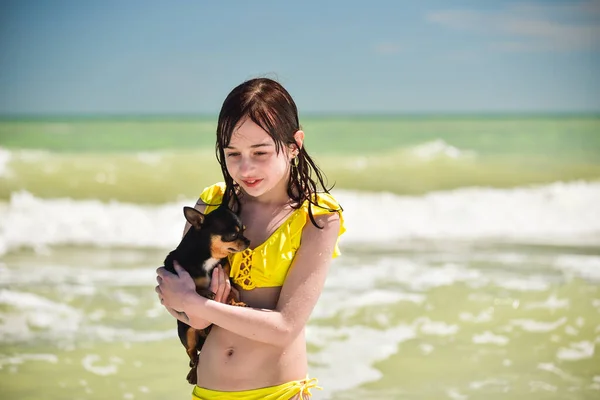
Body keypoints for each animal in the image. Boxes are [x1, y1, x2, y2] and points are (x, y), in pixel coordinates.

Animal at [163, 203, 250, 384]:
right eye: (233, 235)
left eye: (244, 230)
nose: (248, 241)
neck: (210, 258)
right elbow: (193, 287)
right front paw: (205, 292)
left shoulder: (228, 280)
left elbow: (232, 292)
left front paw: (237, 302)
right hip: (187, 332)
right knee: (192, 353)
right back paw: (193, 370)